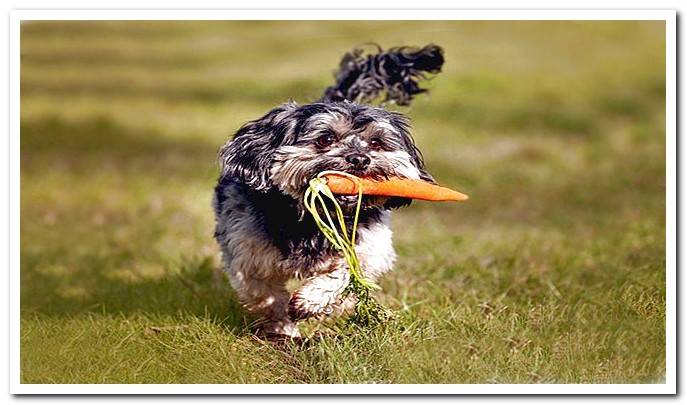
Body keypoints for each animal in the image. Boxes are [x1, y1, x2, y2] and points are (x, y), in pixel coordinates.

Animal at [214, 44, 446, 338]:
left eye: (376, 143)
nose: (359, 159)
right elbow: (266, 296)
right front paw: (284, 329)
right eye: (325, 139)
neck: (311, 220)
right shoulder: (246, 254)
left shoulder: (370, 248)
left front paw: (310, 301)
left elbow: (347, 274)